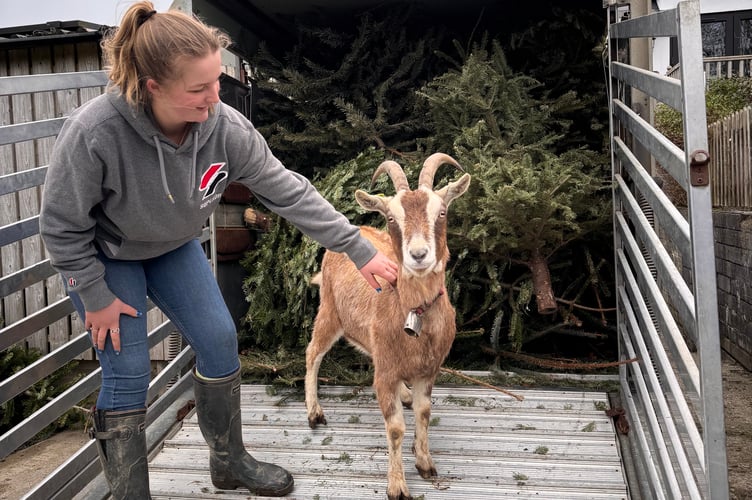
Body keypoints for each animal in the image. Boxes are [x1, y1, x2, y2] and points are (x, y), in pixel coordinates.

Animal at [304, 153, 470, 500]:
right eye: (392, 218)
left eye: (442, 212)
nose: (418, 255)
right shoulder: (386, 374)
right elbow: (394, 428)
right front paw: (397, 486)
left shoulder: (428, 370)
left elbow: (423, 412)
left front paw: (425, 462)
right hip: (330, 311)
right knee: (313, 353)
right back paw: (314, 413)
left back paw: (403, 394)